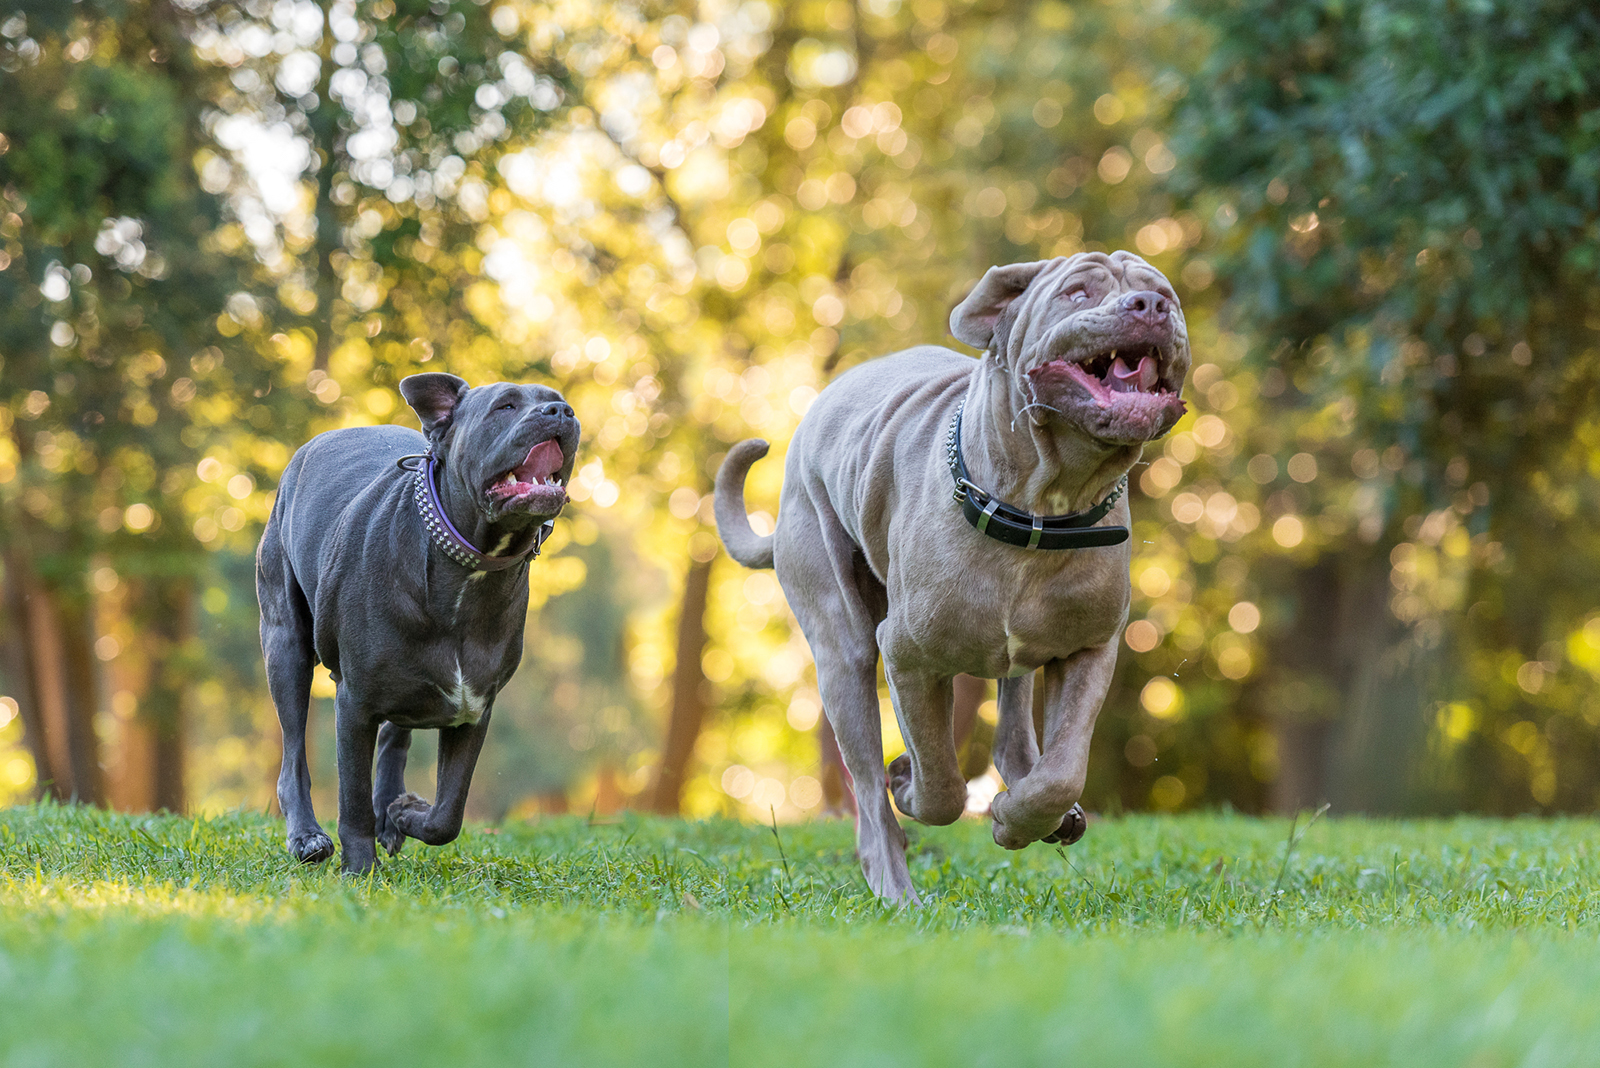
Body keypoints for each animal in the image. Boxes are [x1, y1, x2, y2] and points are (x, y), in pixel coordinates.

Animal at [249, 370, 576, 869]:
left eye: (557, 401)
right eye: (505, 406)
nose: (561, 412)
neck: (470, 567)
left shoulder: (473, 710)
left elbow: (448, 814)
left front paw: (404, 813)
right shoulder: (354, 703)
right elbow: (353, 799)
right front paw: (360, 869)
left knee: (394, 737)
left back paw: (391, 812)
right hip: (285, 647)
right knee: (293, 757)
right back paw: (307, 837)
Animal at [713, 251, 1190, 901]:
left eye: (1164, 293)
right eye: (1076, 293)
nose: (1150, 306)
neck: (1043, 506)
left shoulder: (1091, 648)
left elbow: (1063, 770)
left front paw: (1018, 818)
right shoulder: (908, 656)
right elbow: (940, 780)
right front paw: (911, 782)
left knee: (1013, 727)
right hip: (843, 647)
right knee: (869, 792)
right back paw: (896, 888)